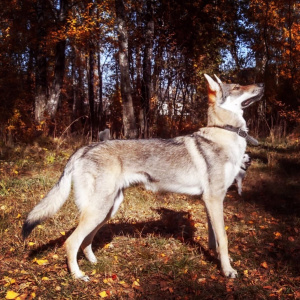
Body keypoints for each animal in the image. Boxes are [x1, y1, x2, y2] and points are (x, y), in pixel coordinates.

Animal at [22, 74, 264, 280]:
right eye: (237, 87)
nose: (261, 84)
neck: (226, 133)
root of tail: (85, 148)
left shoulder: (210, 201)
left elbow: (215, 239)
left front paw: (218, 261)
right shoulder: (214, 199)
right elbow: (224, 239)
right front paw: (228, 271)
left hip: (107, 210)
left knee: (86, 241)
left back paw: (94, 263)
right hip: (100, 210)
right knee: (71, 242)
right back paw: (78, 276)